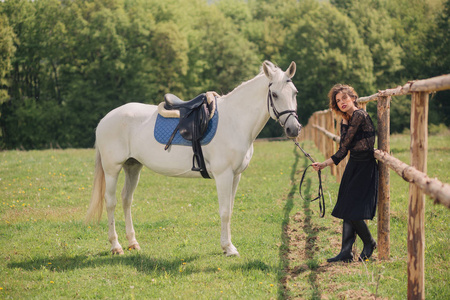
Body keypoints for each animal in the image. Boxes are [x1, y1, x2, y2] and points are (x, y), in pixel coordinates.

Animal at [85, 60, 300, 255]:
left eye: (295, 93)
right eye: (274, 94)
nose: (294, 129)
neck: (235, 121)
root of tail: (106, 119)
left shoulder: (236, 176)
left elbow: (230, 209)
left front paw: (228, 245)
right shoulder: (224, 175)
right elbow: (224, 212)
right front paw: (228, 248)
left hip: (133, 167)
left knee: (126, 199)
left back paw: (133, 243)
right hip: (112, 169)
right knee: (111, 202)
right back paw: (116, 246)